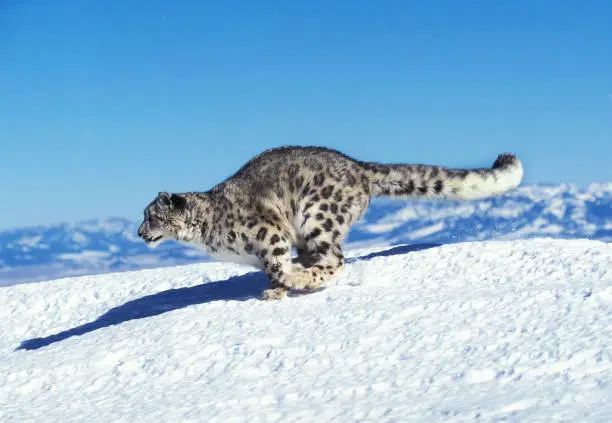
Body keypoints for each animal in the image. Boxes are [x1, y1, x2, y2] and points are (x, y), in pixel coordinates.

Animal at [137, 147, 520, 300]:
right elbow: (271, 271)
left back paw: (301, 277)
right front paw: (276, 288)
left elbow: (276, 265)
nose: (139, 233)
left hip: (317, 217)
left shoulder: (270, 235)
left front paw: (279, 288)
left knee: (334, 260)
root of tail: (358, 166)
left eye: (151, 216)